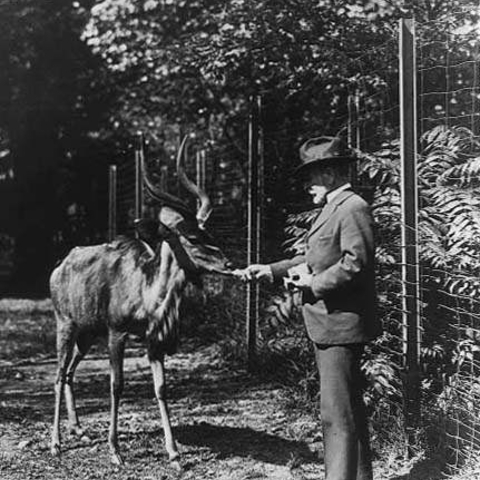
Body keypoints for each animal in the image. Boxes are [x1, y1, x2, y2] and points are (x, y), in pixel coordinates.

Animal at [49, 135, 233, 464]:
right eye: (192, 238)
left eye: (208, 233)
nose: (228, 263)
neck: (146, 293)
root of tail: (58, 268)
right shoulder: (116, 333)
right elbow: (116, 385)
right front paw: (115, 451)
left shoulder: (153, 340)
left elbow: (161, 387)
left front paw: (173, 452)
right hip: (66, 326)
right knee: (58, 376)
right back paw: (56, 443)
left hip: (87, 334)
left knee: (69, 373)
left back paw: (79, 430)